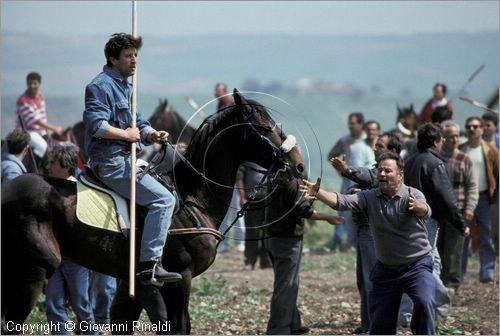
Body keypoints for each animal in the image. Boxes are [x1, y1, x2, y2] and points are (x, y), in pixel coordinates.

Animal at [0, 89, 304, 334]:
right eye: (264, 127)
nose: (298, 164)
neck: (192, 197)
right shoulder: (179, 279)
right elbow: (178, 327)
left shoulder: (133, 286)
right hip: (33, 272)